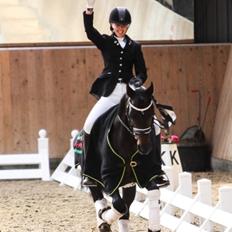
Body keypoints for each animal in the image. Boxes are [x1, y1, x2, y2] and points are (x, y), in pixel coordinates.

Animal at [74, 84, 163, 232]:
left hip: (128, 184)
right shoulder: (109, 178)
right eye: (132, 116)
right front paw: (103, 216)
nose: (145, 148)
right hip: (92, 175)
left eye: (152, 113)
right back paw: (102, 219)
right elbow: (118, 205)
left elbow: (152, 194)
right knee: (98, 194)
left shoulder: (145, 174)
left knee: (125, 209)